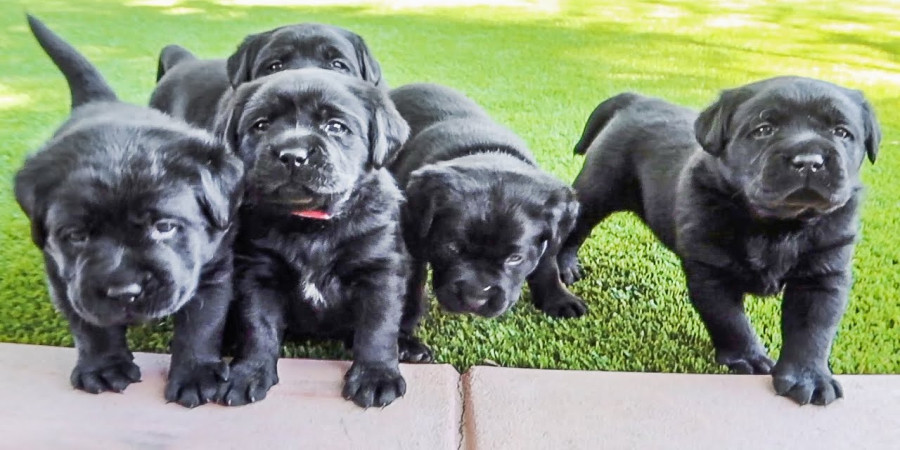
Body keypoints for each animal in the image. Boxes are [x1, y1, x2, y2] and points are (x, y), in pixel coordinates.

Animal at [15, 16, 244, 408]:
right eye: (77, 236)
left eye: (165, 227)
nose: (125, 290)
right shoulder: (63, 275)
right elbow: (88, 323)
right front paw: (104, 367)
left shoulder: (213, 264)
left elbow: (203, 322)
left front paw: (196, 374)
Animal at [214, 67, 422, 408]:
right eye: (261, 125)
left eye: (335, 126)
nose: (292, 155)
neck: (311, 225)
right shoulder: (257, 272)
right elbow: (257, 326)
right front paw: (248, 372)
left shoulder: (378, 271)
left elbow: (377, 326)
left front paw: (376, 376)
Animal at [390, 83, 580, 320]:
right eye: (451, 248)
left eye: (515, 258)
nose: (475, 298)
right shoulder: (412, 236)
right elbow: (412, 278)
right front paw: (406, 317)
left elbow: (547, 263)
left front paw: (558, 298)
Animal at [564, 75, 880, 406]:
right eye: (763, 129)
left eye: (841, 132)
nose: (809, 161)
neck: (780, 226)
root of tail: (639, 99)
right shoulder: (711, 271)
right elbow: (729, 320)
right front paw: (748, 358)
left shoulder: (824, 274)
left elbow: (812, 329)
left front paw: (810, 378)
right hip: (599, 187)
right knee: (576, 227)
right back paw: (566, 267)